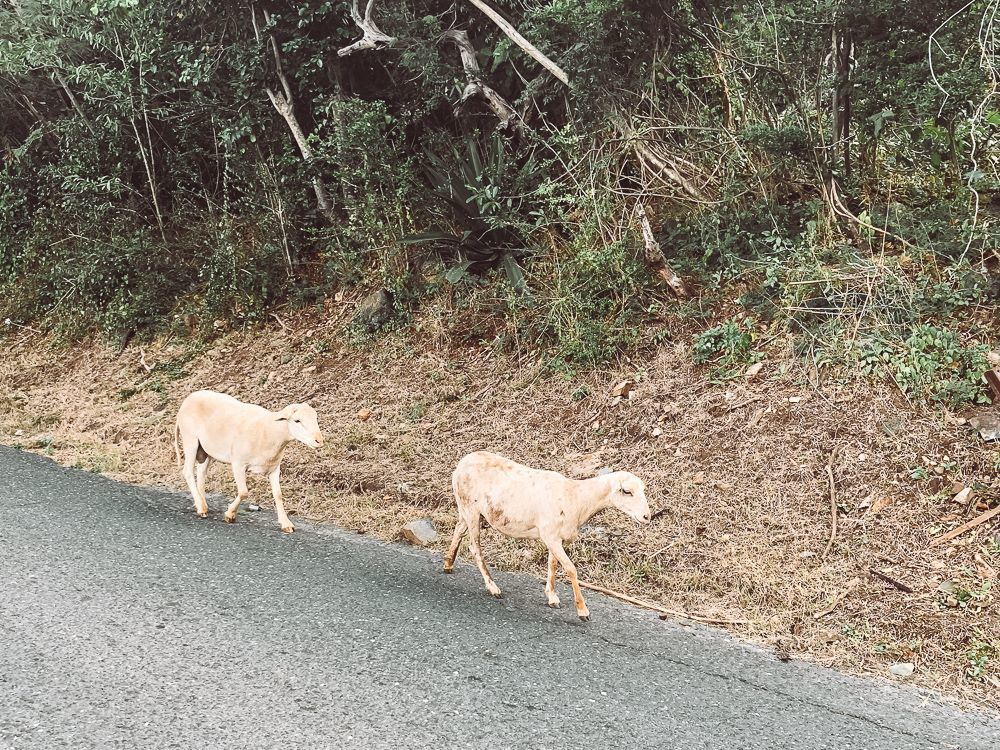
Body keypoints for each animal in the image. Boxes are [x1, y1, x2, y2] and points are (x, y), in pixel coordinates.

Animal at [173, 394, 324, 536]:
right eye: (297, 420)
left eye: (316, 418)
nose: (319, 440)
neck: (268, 432)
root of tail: (189, 397)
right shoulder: (238, 463)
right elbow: (244, 492)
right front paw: (230, 514)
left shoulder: (274, 468)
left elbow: (278, 495)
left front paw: (286, 523)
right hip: (190, 440)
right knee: (187, 471)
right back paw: (200, 507)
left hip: (206, 449)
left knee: (201, 473)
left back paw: (202, 504)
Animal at [444, 452, 648, 624]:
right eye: (627, 491)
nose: (647, 516)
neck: (577, 498)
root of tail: (461, 464)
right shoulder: (550, 536)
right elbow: (571, 569)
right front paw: (583, 611)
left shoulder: (556, 538)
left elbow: (553, 565)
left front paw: (552, 597)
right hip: (471, 509)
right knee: (474, 548)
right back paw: (493, 587)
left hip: (466, 510)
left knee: (458, 530)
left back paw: (448, 564)